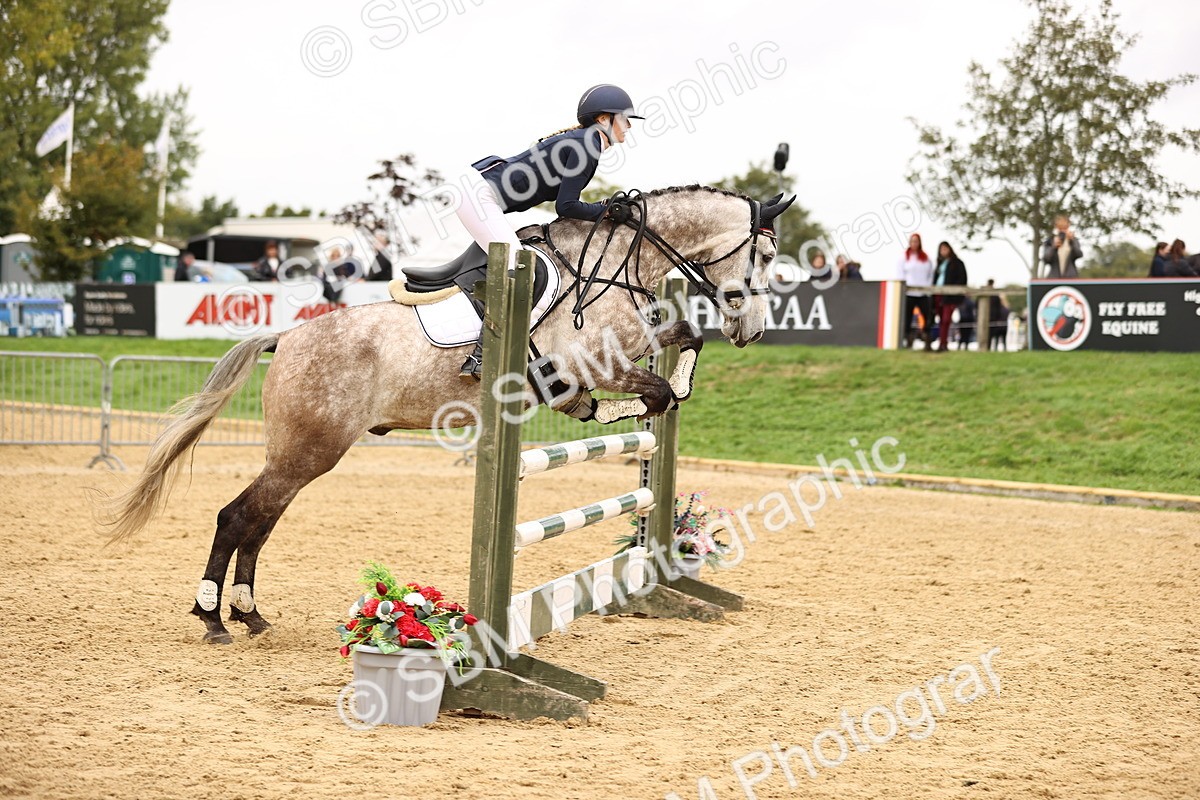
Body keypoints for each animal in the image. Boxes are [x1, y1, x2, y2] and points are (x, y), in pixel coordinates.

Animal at [101, 185, 795, 643]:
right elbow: (651, 389)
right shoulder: (590, 363)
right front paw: (641, 398)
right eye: (764, 256)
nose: (756, 331)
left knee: (261, 519)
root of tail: (287, 337)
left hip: (302, 454)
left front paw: (657, 390)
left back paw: (248, 613)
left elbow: (679, 346)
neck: (616, 264)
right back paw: (213, 616)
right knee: (239, 515)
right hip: (310, 448)